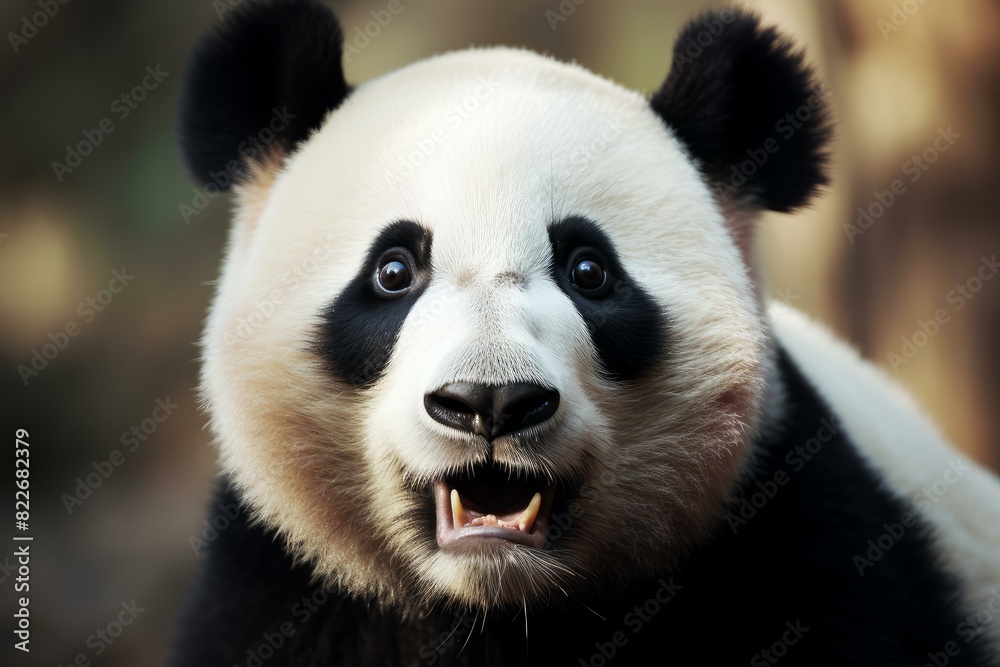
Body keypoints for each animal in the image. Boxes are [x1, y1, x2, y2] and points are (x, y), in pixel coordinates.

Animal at [170, 1, 1000, 667]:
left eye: (589, 270)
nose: (490, 402)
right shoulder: (285, 591)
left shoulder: (795, 541)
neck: (498, 607)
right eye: (394, 270)